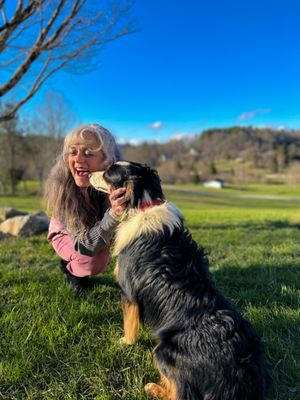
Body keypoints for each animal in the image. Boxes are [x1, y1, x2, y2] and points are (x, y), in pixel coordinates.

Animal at [89, 161, 272, 398]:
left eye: (108, 172)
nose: (86, 173)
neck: (144, 203)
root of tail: (237, 373)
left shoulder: (128, 292)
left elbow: (129, 325)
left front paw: (124, 343)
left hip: (162, 351)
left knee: (179, 393)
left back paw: (153, 387)